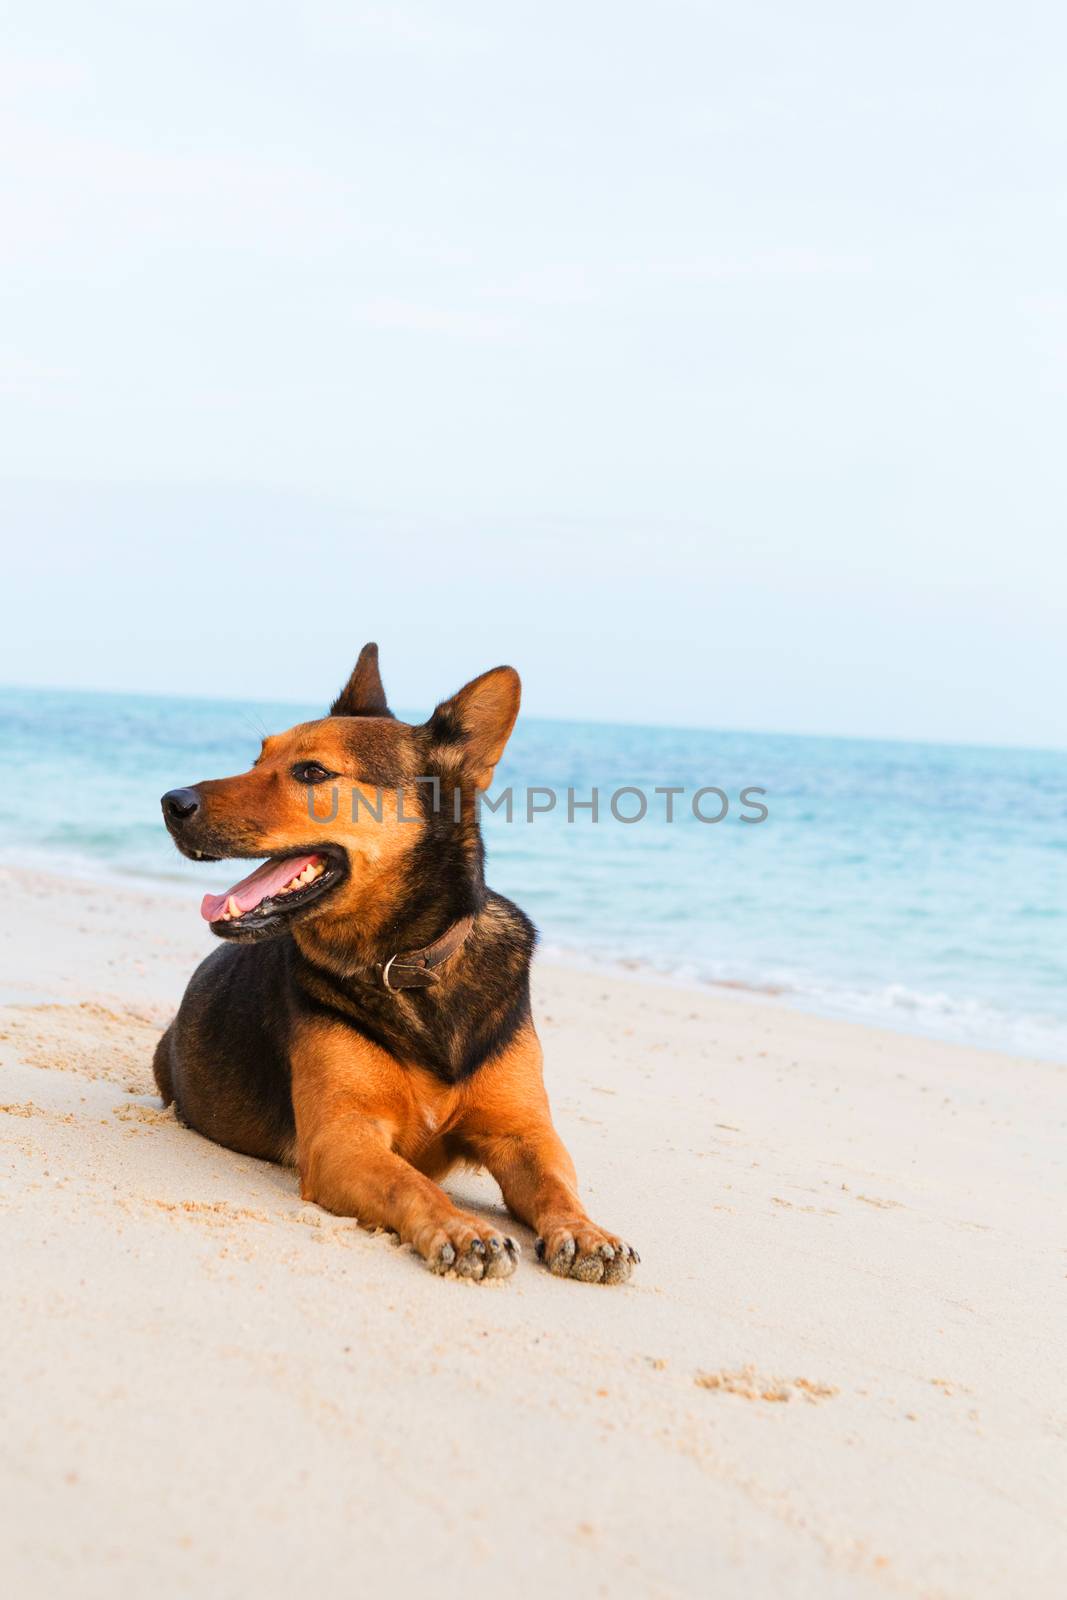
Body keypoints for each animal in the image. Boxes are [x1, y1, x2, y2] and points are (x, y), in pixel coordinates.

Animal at [154, 643, 639, 1280]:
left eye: (312, 772)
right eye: (257, 759)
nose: (170, 803)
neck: (407, 962)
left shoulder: (523, 1133)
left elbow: (558, 1184)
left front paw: (586, 1232)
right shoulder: (343, 1139)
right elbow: (410, 1183)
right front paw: (461, 1228)